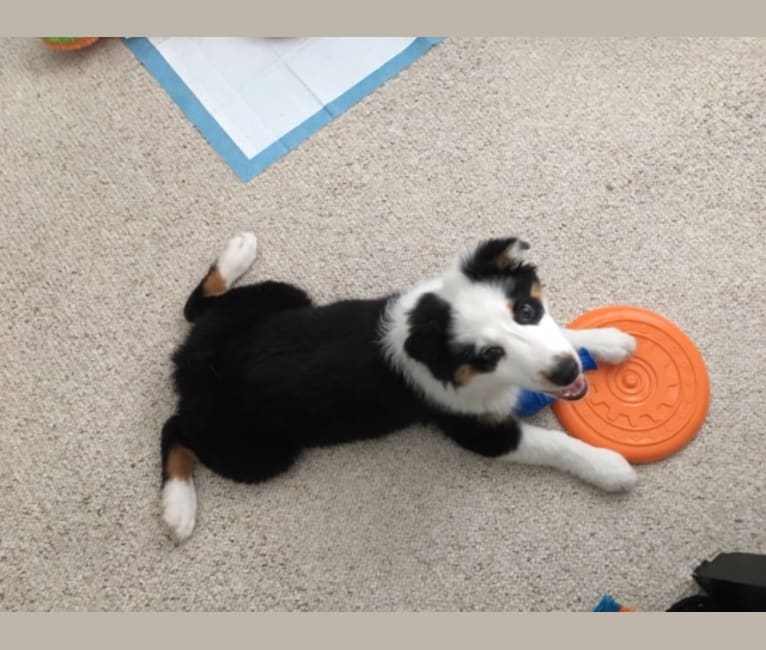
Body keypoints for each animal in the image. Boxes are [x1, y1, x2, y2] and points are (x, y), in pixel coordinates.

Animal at [164, 230, 640, 540]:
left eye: (526, 310)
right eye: (488, 355)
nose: (565, 374)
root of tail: (192, 365)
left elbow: (562, 334)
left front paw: (607, 341)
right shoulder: (476, 431)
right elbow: (555, 444)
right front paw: (609, 468)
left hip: (278, 299)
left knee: (197, 308)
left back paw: (238, 251)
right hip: (256, 451)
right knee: (175, 429)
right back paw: (177, 507)